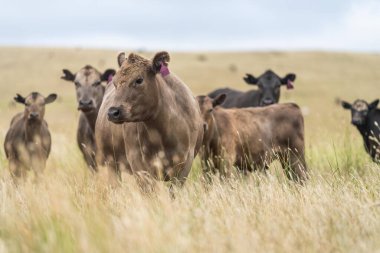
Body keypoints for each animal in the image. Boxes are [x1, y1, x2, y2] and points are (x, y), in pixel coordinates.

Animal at [98, 50, 205, 183]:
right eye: (115, 82)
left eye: (139, 80)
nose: (113, 112)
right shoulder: (139, 165)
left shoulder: (184, 164)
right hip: (112, 164)